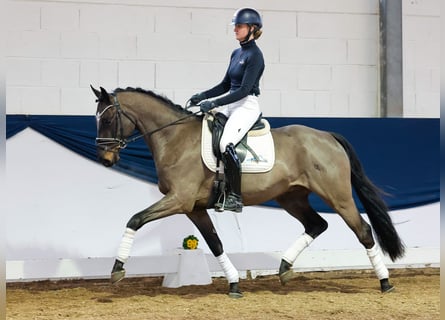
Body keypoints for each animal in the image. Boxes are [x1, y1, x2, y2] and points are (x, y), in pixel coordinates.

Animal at [92, 85, 404, 298]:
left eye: (106, 120)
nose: (105, 160)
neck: (174, 138)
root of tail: (327, 136)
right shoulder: (194, 207)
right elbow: (215, 243)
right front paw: (233, 284)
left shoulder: (179, 200)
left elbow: (135, 219)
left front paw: (117, 270)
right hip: (291, 197)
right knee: (317, 224)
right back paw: (284, 269)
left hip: (337, 197)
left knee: (363, 231)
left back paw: (385, 283)